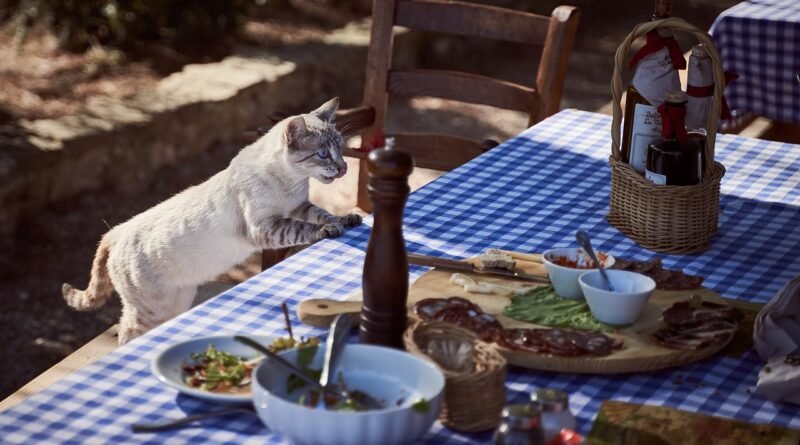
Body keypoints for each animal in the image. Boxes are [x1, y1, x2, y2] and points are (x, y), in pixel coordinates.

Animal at [62, 97, 362, 344]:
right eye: (323, 154)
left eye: (341, 149)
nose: (343, 167)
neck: (292, 182)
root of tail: (118, 230)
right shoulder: (265, 227)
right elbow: (305, 227)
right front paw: (328, 229)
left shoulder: (298, 206)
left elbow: (321, 213)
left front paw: (347, 218)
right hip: (152, 309)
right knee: (126, 333)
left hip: (178, 300)